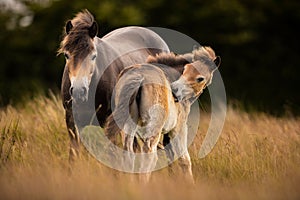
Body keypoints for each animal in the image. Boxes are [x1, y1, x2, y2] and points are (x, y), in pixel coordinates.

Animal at [105, 47, 220, 183]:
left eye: (200, 78)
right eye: (185, 70)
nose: (174, 91)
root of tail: (139, 76)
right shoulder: (179, 128)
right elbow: (184, 160)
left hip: (128, 126)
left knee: (128, 153)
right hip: (154, 129)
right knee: (149, 155)